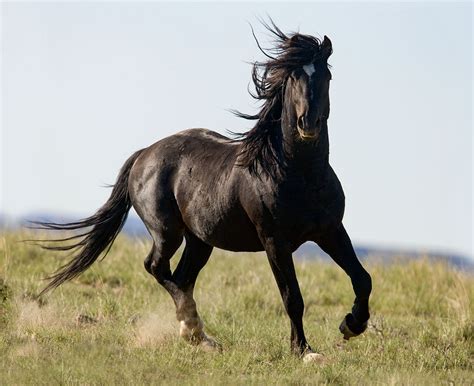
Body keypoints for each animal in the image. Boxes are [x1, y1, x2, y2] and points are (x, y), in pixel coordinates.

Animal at [36, 21, 370, 362]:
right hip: (168, 232)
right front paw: (303, 351)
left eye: (326, 75)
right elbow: (293, 297)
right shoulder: (275, 242)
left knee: (181, 277)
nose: (307, 124)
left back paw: (198, 336)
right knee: (156, 267)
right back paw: (193, 326)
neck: (298, 174)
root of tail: (144, 154)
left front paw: (351, 325)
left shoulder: (329, 230)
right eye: (293, 77)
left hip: (200, 240)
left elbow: (362, 278)